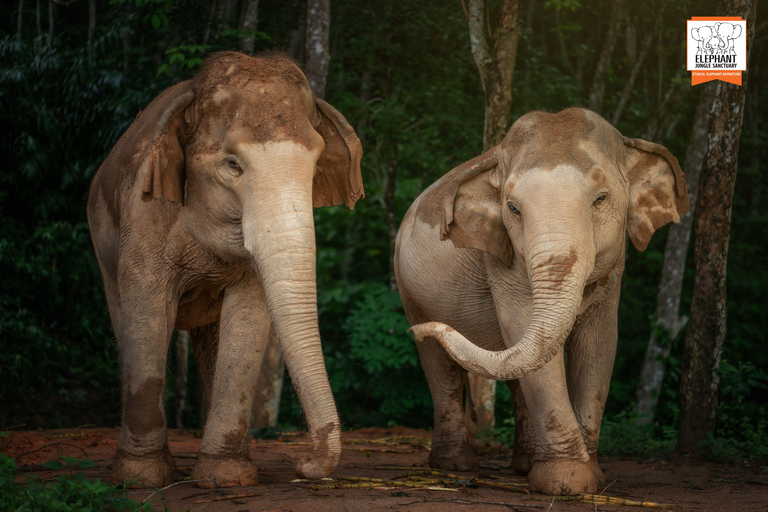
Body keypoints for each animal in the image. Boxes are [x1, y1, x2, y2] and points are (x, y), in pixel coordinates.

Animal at [87, 51, 364, 488]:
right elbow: (146, 320)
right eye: (233, 165)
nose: (302, 464)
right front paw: (142, 479)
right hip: (103, 245)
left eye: (315, 167)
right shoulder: (144, 215)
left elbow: (247, 321)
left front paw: (225, 477)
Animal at [394, 108, 689, 495]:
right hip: (409, 288)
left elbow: (599, 343)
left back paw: (523, 466)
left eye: (601, 199)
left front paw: (590, 478)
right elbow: (523, 328)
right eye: (513, 208)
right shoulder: (500, 257)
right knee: (440, 367)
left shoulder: (615, 268)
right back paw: (456, 464)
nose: (420, 329)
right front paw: (568, 482)